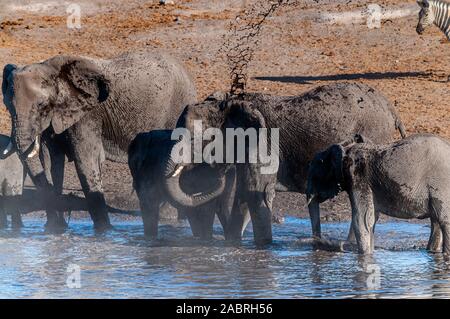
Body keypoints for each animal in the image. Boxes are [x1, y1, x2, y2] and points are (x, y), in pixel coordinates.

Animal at [1, 50, 196, 230]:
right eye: (8, 106)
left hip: (176, 108)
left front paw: (104, 230)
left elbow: (86, 159)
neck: (54, 71)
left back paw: (166, 217)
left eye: (42, 105)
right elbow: (50, 160)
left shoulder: (88, 114)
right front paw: (55, 230)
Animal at [163, 82, 406, 245]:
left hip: (374, 136)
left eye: (193, 139)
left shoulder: (263, 145)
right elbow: (244, 195)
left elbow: (257, 194)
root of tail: (392, 109)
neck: (231, 104)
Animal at [308, 134, 450, 255]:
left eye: (316, 171)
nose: (317, 244)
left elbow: (362, 220)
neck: (345, 148)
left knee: (443, 221)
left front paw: (364, 256)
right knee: (436, 221)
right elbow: (372, 219)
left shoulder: (359, 178)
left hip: (441, 186)